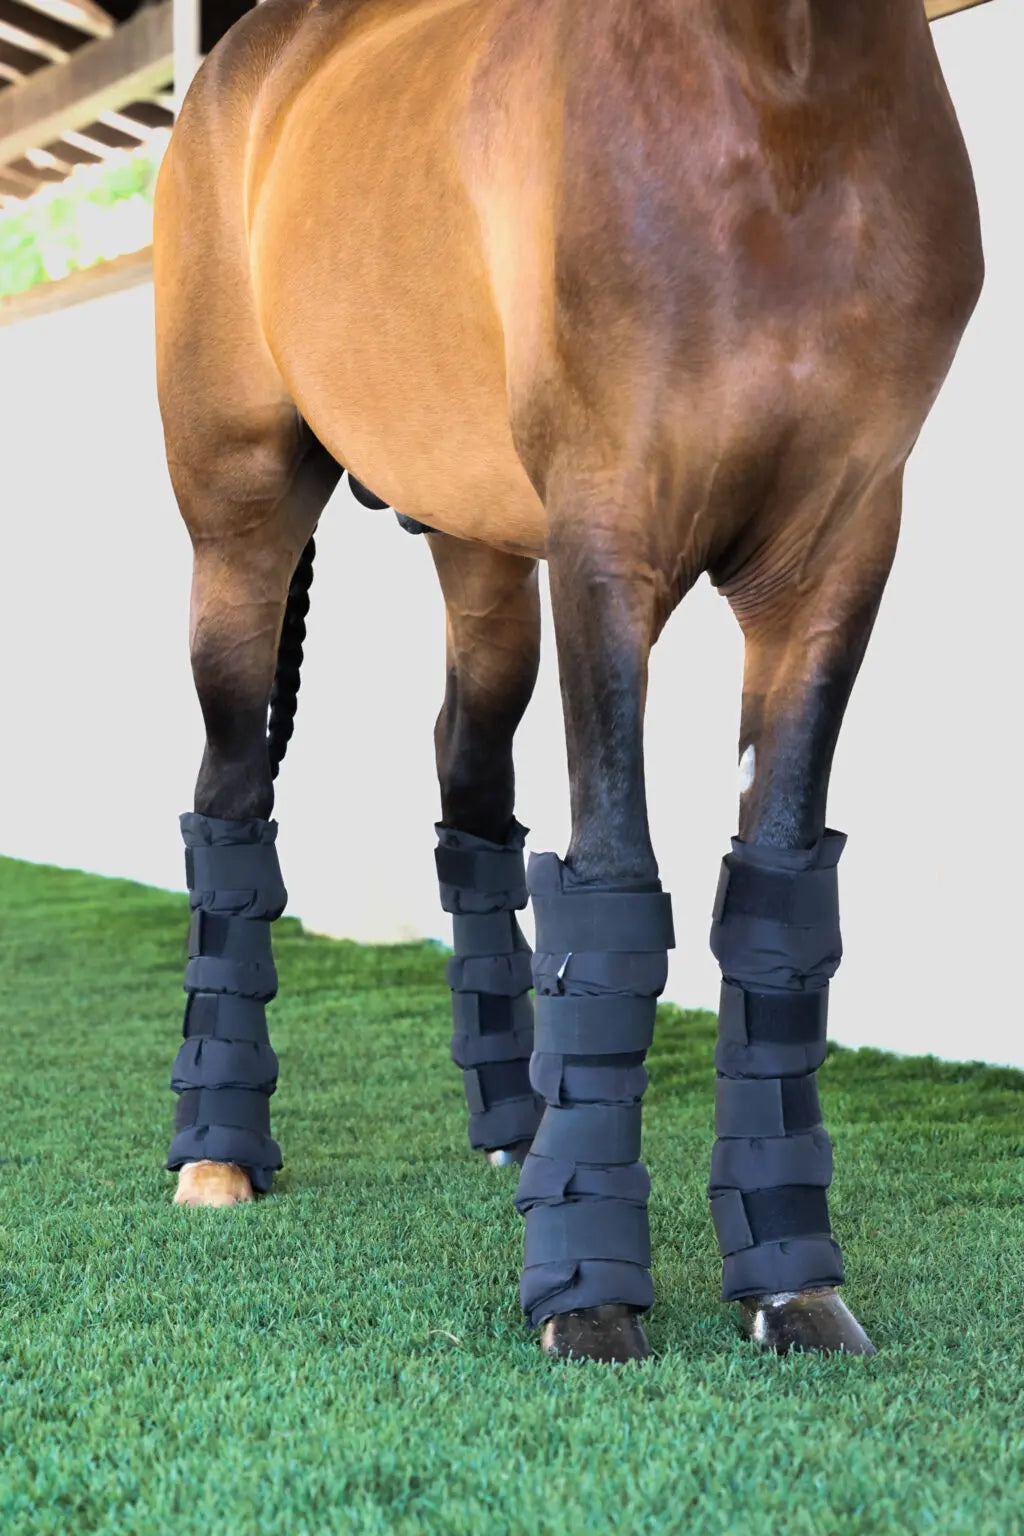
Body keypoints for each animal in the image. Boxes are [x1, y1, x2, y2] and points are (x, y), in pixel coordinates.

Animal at [153, 0, 983, 1363]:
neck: (782, 99)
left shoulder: (835, 556)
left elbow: (777, 890)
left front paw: (790, 1286)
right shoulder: (610, 541)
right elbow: (612, 874)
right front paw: (589, 1300)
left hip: (483, 553)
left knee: (470, 793)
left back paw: (516, 1130)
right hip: (240, 517)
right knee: (230, 798)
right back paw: (216, 1156)